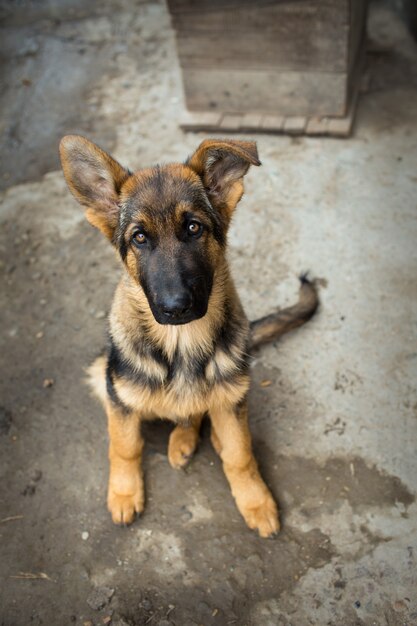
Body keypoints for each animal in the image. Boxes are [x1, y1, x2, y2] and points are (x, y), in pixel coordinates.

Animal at [59, 136, 318, 536]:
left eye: (194, 228)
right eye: (139, 238)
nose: (176, 307)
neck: (181, 342)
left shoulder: (232, 399)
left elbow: (241, 455)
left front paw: (255, 501)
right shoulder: (119, 399)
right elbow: (124, 446)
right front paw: (124, 493)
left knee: (200, 413)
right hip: (101, 373)